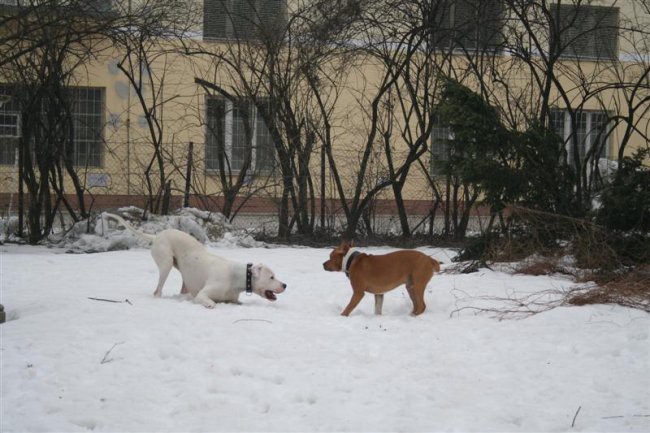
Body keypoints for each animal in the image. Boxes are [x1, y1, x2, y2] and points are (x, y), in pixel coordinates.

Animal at [102, 213, 284, 308]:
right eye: (271, 277)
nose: (285, 285)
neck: (236, 277)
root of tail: (157, 236)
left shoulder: (233, 300)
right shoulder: (204, 294)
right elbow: (210, 302)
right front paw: (211, 304)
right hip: (166, 264)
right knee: (157, 290)